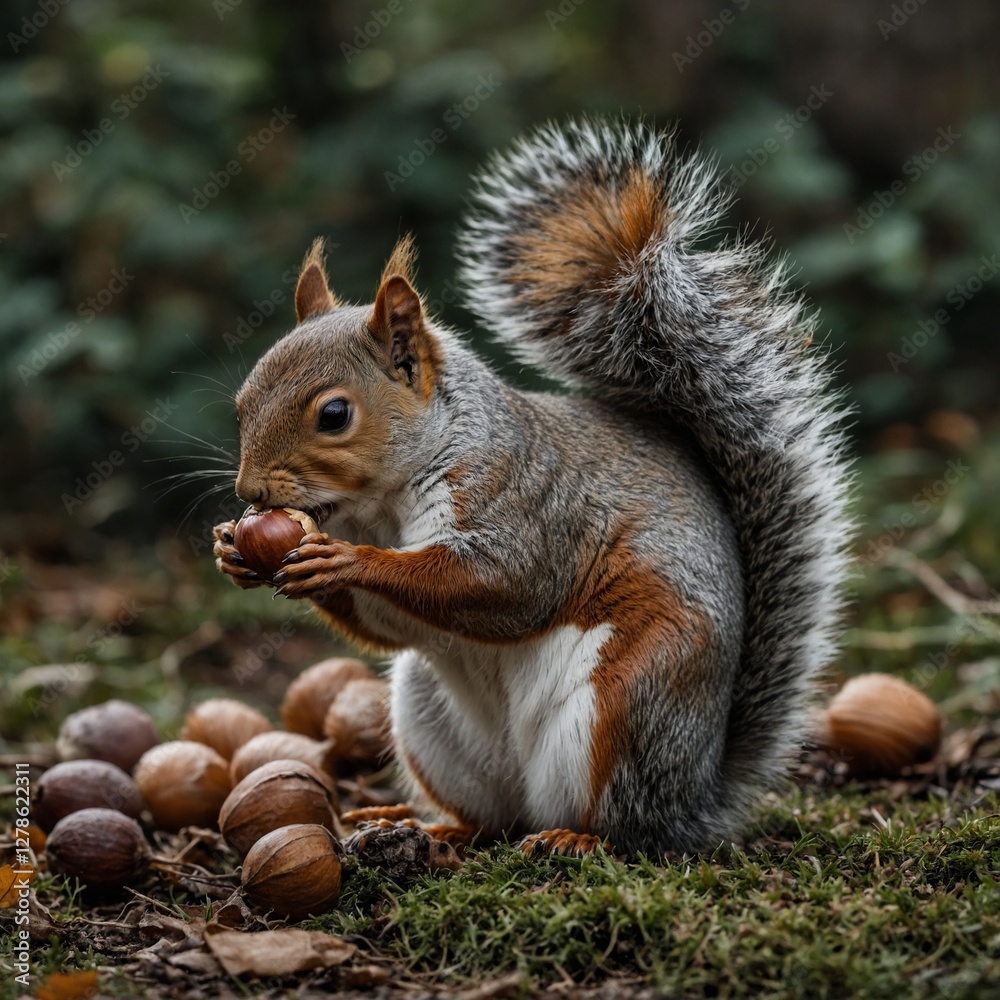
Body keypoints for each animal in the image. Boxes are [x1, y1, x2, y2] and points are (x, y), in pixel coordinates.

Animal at [212, 118, 852, 857]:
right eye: (242, 401)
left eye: (335, 414)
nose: (251, 492)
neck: (383, 506)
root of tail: (699, 798)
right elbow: (393, 625)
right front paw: (235, 551)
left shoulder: (524, 503)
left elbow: (503, 587)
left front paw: (347, 561)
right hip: (429, 717)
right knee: (494, 818)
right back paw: (427, 827)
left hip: (627, 700)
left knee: (629, 826)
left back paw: (579, 840)